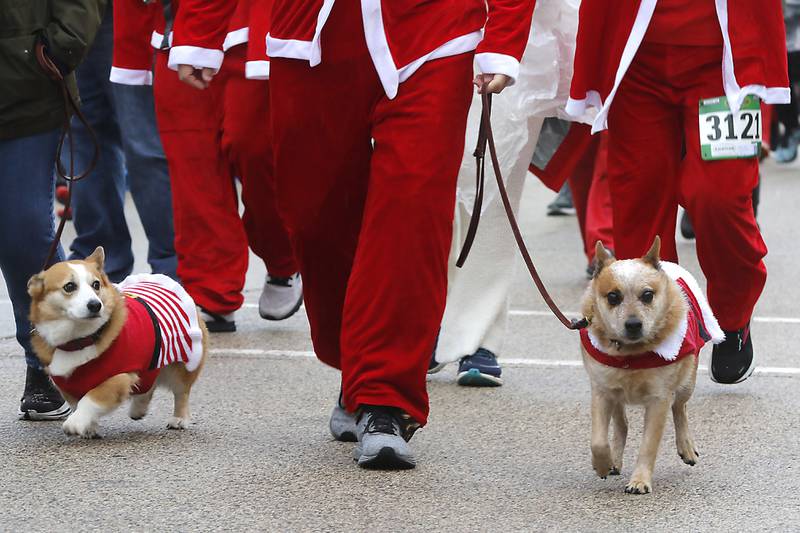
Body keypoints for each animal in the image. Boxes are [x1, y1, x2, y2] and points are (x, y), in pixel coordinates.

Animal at [28, 247, 206, 438]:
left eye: (96, 285)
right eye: (69, 286)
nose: (95, 305)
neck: (78, 340)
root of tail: (164, 282)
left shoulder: (118, 378)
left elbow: (90, 399)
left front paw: (75, 423)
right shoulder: (68, 386)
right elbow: (78, 404)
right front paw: (89, 427)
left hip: (184, 363)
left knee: (181, 392)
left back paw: (179, 419)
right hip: (152, 361)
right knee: (147, 386)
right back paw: (138, 410)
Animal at [580, 237, 724, 494]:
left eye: (647, 295)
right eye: (613, 297)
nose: (633, 324)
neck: (632, 353)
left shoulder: (659, 399)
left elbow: (649, 444)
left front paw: (639, 481)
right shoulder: (602, 390)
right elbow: (597, 440)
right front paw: (602, 463)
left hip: (687, 382)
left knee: (680, 408)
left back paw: (686, 447)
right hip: (615, 394)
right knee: (622, 424)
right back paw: (614, 459)